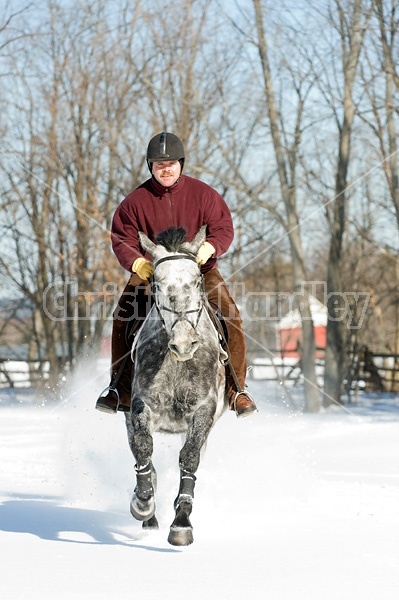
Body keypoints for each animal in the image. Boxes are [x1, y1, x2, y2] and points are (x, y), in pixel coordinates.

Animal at [126, 225, 230, 544]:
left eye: (197, 281)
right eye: (157, 284)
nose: (184, 344)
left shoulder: (203, 410)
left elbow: (190, 458)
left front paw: (182, 523)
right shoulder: (141, 405)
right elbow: (144, 448)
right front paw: (143, 503)